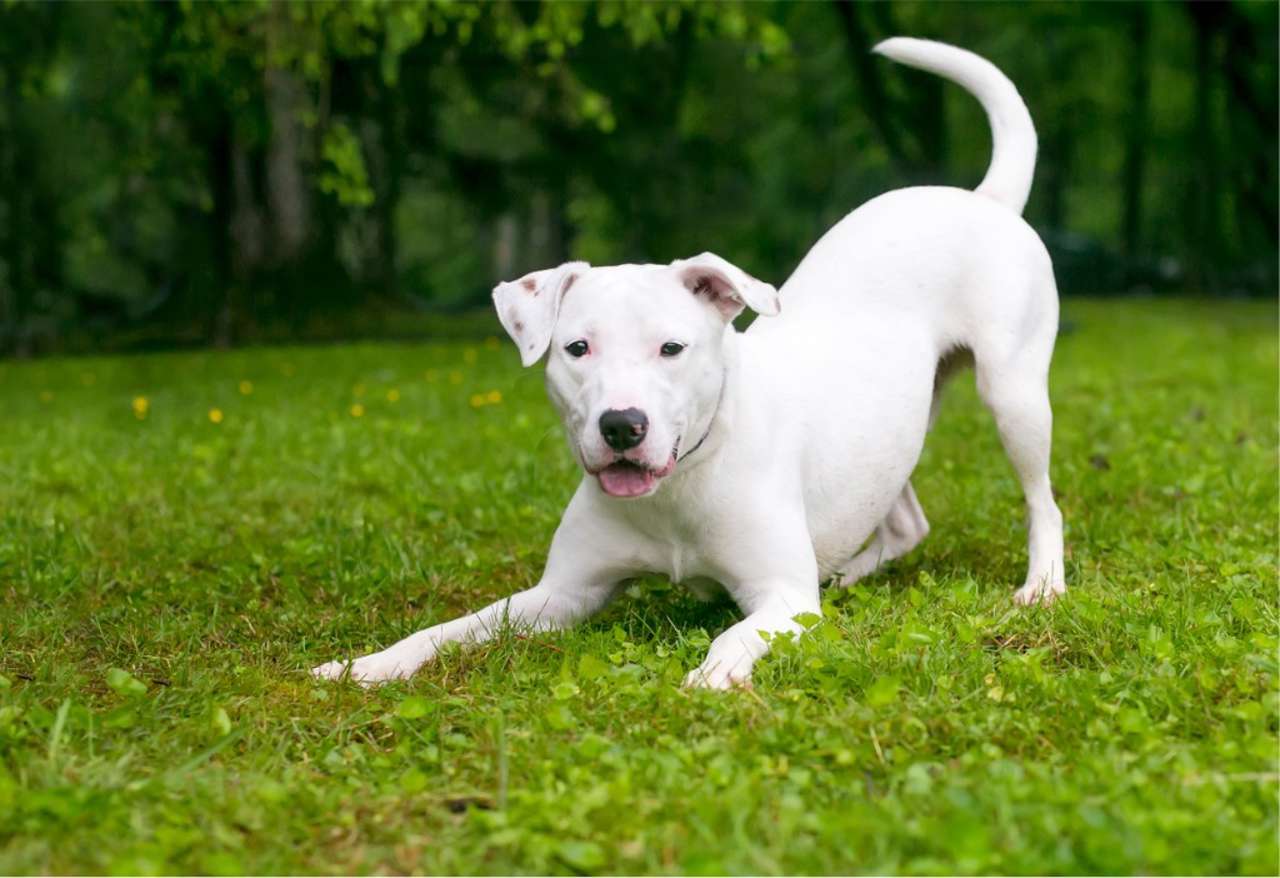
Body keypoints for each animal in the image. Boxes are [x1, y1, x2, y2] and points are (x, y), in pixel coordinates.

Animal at [314, 37, 1064, 691]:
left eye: (671, 348)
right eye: (577, 349)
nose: (622, 425)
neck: (683, 481)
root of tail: (982, 199)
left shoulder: (779, 598)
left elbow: (737, 632)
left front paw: (715, 673)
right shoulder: (560, 595)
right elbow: (452, 628)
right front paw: (367, 665)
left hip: (1013, 393)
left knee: (1042, 501)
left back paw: (1043, 584)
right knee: (904, 518)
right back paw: (849, 571)